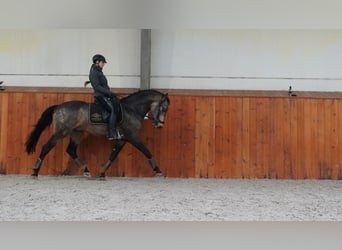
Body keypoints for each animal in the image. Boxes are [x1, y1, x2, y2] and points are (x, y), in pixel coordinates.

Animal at [24, 89, 171, 179]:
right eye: (163, 108)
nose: (159, 125)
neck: (132, 109)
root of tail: (58, 107)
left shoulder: (122, 139)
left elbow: (113, 155)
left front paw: (102, 173)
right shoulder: (133, 137)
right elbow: (147, 152)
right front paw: (159, 171)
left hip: (77, 133)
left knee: (71, 150)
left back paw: (86, 171)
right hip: (61, 132)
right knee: (46, 147)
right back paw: (35, 171)